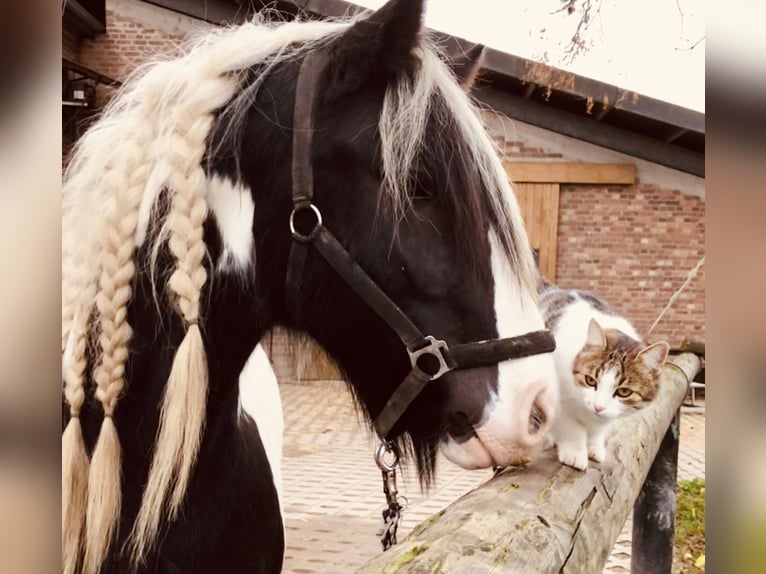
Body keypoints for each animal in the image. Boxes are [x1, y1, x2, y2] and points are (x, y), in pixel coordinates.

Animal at [540, 284, 672, 472]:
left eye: (624, 391)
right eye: (590, 380)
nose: (598, 407)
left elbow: (599, 428)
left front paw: (594, 446)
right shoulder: (560, 398)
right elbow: (571, 425)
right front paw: (575, 452)